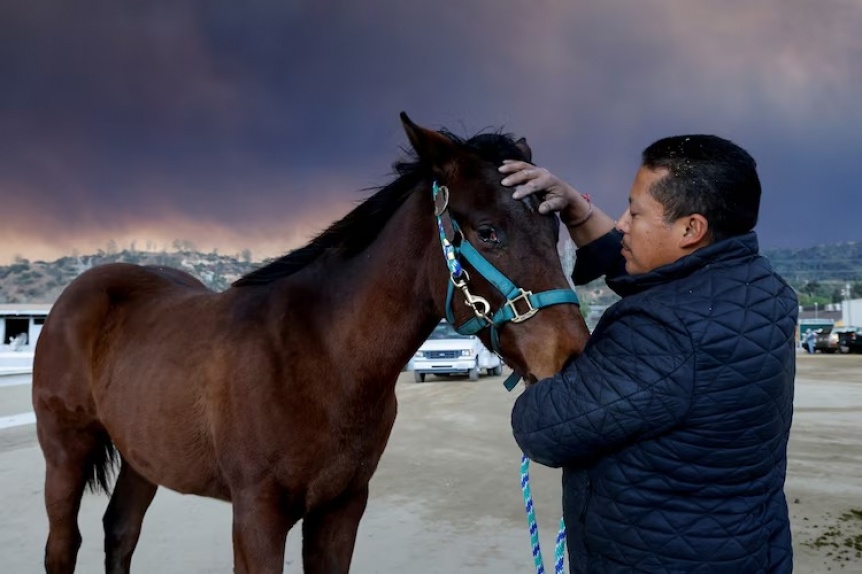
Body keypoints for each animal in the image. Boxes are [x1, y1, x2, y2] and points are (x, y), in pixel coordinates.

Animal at [30, 112, 592, 574]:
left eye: (554, 227)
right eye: (489, 232)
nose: (571, 356)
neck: (321, 357)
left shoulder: (341, 508)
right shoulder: (257, 515)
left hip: (142, 456)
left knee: (120, 532)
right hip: (65, 453)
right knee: (63, 545)